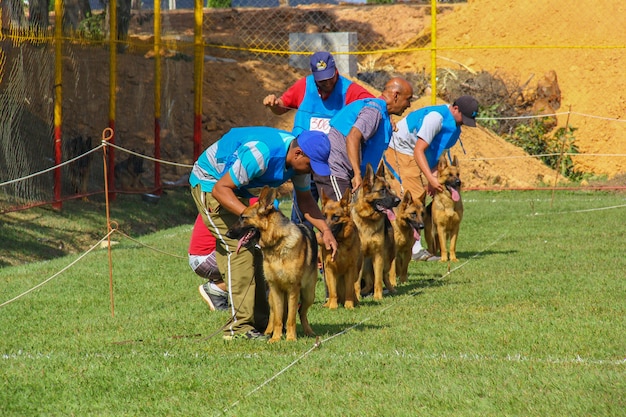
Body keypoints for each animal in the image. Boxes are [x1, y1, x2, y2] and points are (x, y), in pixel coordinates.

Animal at [225, 185, 316, 342]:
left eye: (243, 218)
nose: (227, 234)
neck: (277, 243)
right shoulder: (275, 288)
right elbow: (278, 318)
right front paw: (275, 339)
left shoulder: (293, 289)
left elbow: (291, 318)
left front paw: (290, 338)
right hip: (272, 296)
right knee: (274, 315)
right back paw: (268, 332)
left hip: (309, 294)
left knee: (301, 312)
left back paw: (308, 331)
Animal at [352, 162, 400, 300]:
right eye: (382, 190)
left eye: (389, 188)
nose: (398, 200)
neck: (367, 219)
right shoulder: (359, 258)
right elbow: (356, 281)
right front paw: (356, 297)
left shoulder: (378, 255)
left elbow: (378, 279)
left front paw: (378, 297)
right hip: (366, 265)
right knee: (368, 282)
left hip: (386, 259)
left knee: (384, 276)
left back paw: (391, 289)